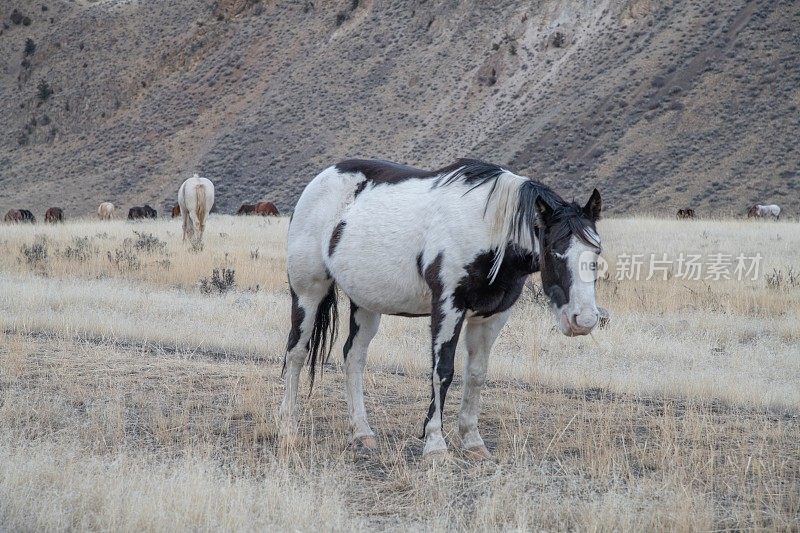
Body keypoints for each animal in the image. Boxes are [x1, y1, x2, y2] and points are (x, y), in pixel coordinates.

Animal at [282, 158, 600, 458]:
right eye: (554, 251)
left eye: (596, 252)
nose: (583, 320)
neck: (488, 226)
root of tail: (321, 180)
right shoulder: (448, 306)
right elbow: (442, 371)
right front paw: (435, 444)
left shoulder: (493, 315)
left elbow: (476, 374)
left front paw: (473, 442)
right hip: (307, 293)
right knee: (296, 352)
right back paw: (289, 428)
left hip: (365, 303)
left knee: (354, 357)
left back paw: (362, 433)